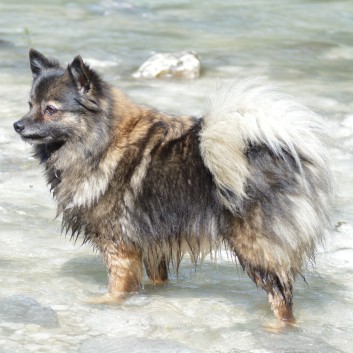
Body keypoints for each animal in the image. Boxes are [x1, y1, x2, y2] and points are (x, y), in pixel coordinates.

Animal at [13, 48, 332, 322]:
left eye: (51, 109)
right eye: (30, 104)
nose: (17, 125)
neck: (99, 143)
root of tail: (280, 151)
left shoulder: (119, 248)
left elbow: (117, 287)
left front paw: (106, 304)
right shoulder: (152, 246)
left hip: (256, 249)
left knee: (281, 298)